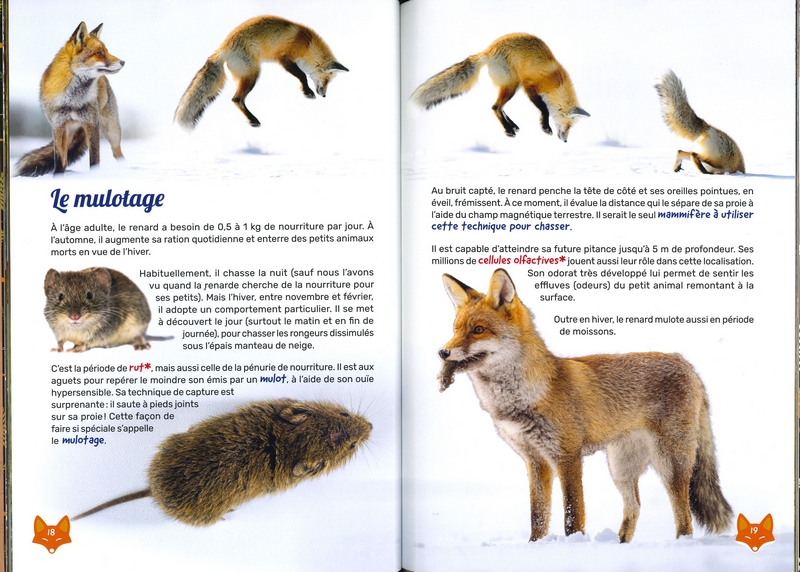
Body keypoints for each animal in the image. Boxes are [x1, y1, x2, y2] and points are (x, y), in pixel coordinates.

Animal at [14, 22, 124, 177]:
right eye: (99, 53)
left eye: (106, 51)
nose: (123, 62)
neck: (72, 100)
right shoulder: (58, 126)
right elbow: (60, 161)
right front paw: (57, 178)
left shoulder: (91, 124)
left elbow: (94, 159)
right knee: (66, 160)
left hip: (112, 130)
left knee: (118, 154)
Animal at [174, 15, 348, 130]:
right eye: (326, 80)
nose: (324, 95)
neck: (307, 45)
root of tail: (223, 48)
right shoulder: (284, 58)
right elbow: (302, 75)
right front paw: (307, 92)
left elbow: (302, 75)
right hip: (252, 74)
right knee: (236, 99)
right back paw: (253, 120)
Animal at [411, 33, 589, 141]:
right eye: (567, 125)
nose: (565, 141)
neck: (555, 82)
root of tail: (488, 50)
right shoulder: (530, 87)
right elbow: (544, 109)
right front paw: (545, 127)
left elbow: (544, 108)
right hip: (513, 85)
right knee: (495, 107)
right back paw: (509, 130)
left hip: (512, 85)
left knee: (500, 107)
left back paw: (512, 126)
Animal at [437, 269, 733, 543]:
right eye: (455, 329)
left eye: (478, 330)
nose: (442, 352)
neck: (526, 396)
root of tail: (686, 364)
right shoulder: (535, 460)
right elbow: (538, 515)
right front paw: (535, 546)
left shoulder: (567, 455)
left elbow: (572, 513)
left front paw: (573, 544)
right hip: (620, 468)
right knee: (635, 506)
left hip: (670, 463)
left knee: (684, 517)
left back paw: (682, 544)